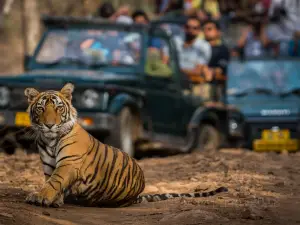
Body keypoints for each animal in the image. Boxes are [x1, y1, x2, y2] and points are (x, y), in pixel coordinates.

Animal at [24, 82, 227, 207]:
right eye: (41, 108)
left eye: (58, 108)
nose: (49, 125)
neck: (50, 140)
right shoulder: (49, 165)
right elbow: (51, 181)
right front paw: (54, 200)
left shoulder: (69, 163)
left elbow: (54, 181)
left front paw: (40, 197)